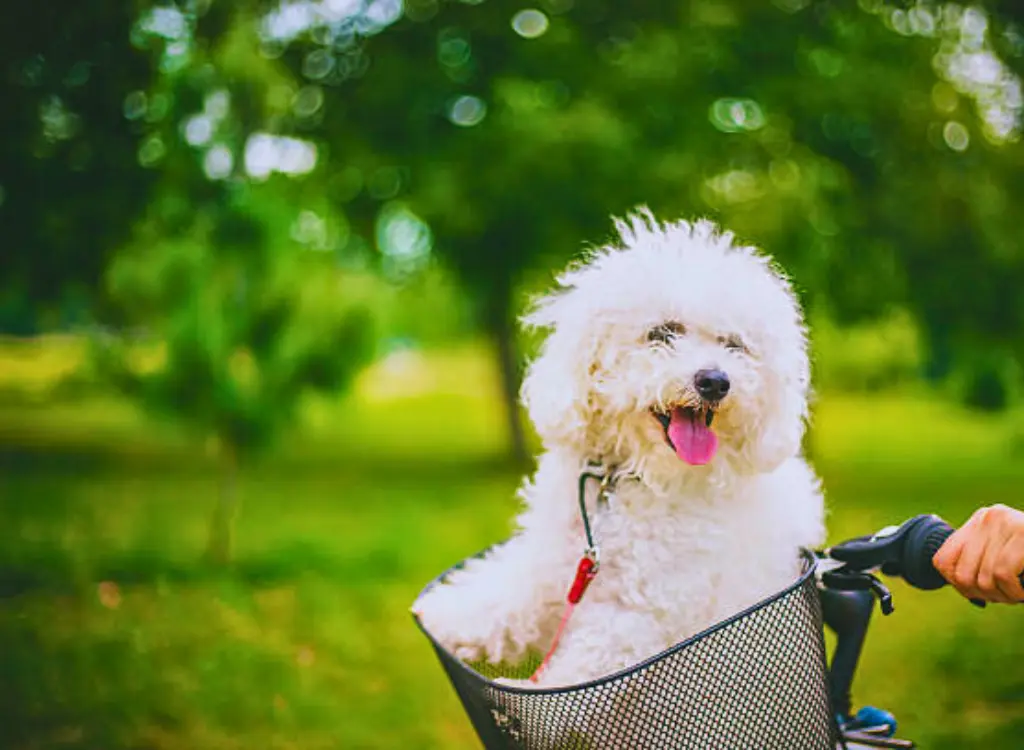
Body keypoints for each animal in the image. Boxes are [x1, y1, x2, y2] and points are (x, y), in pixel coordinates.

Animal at [411, 211, 827, 709]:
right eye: (662, 333)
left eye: (734, 345)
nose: (715, 381)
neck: (627, 480)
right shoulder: (554, 563)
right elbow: (508, 594)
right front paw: (448, 614)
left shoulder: (638, 613)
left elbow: (581, 669)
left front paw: (535, 702)